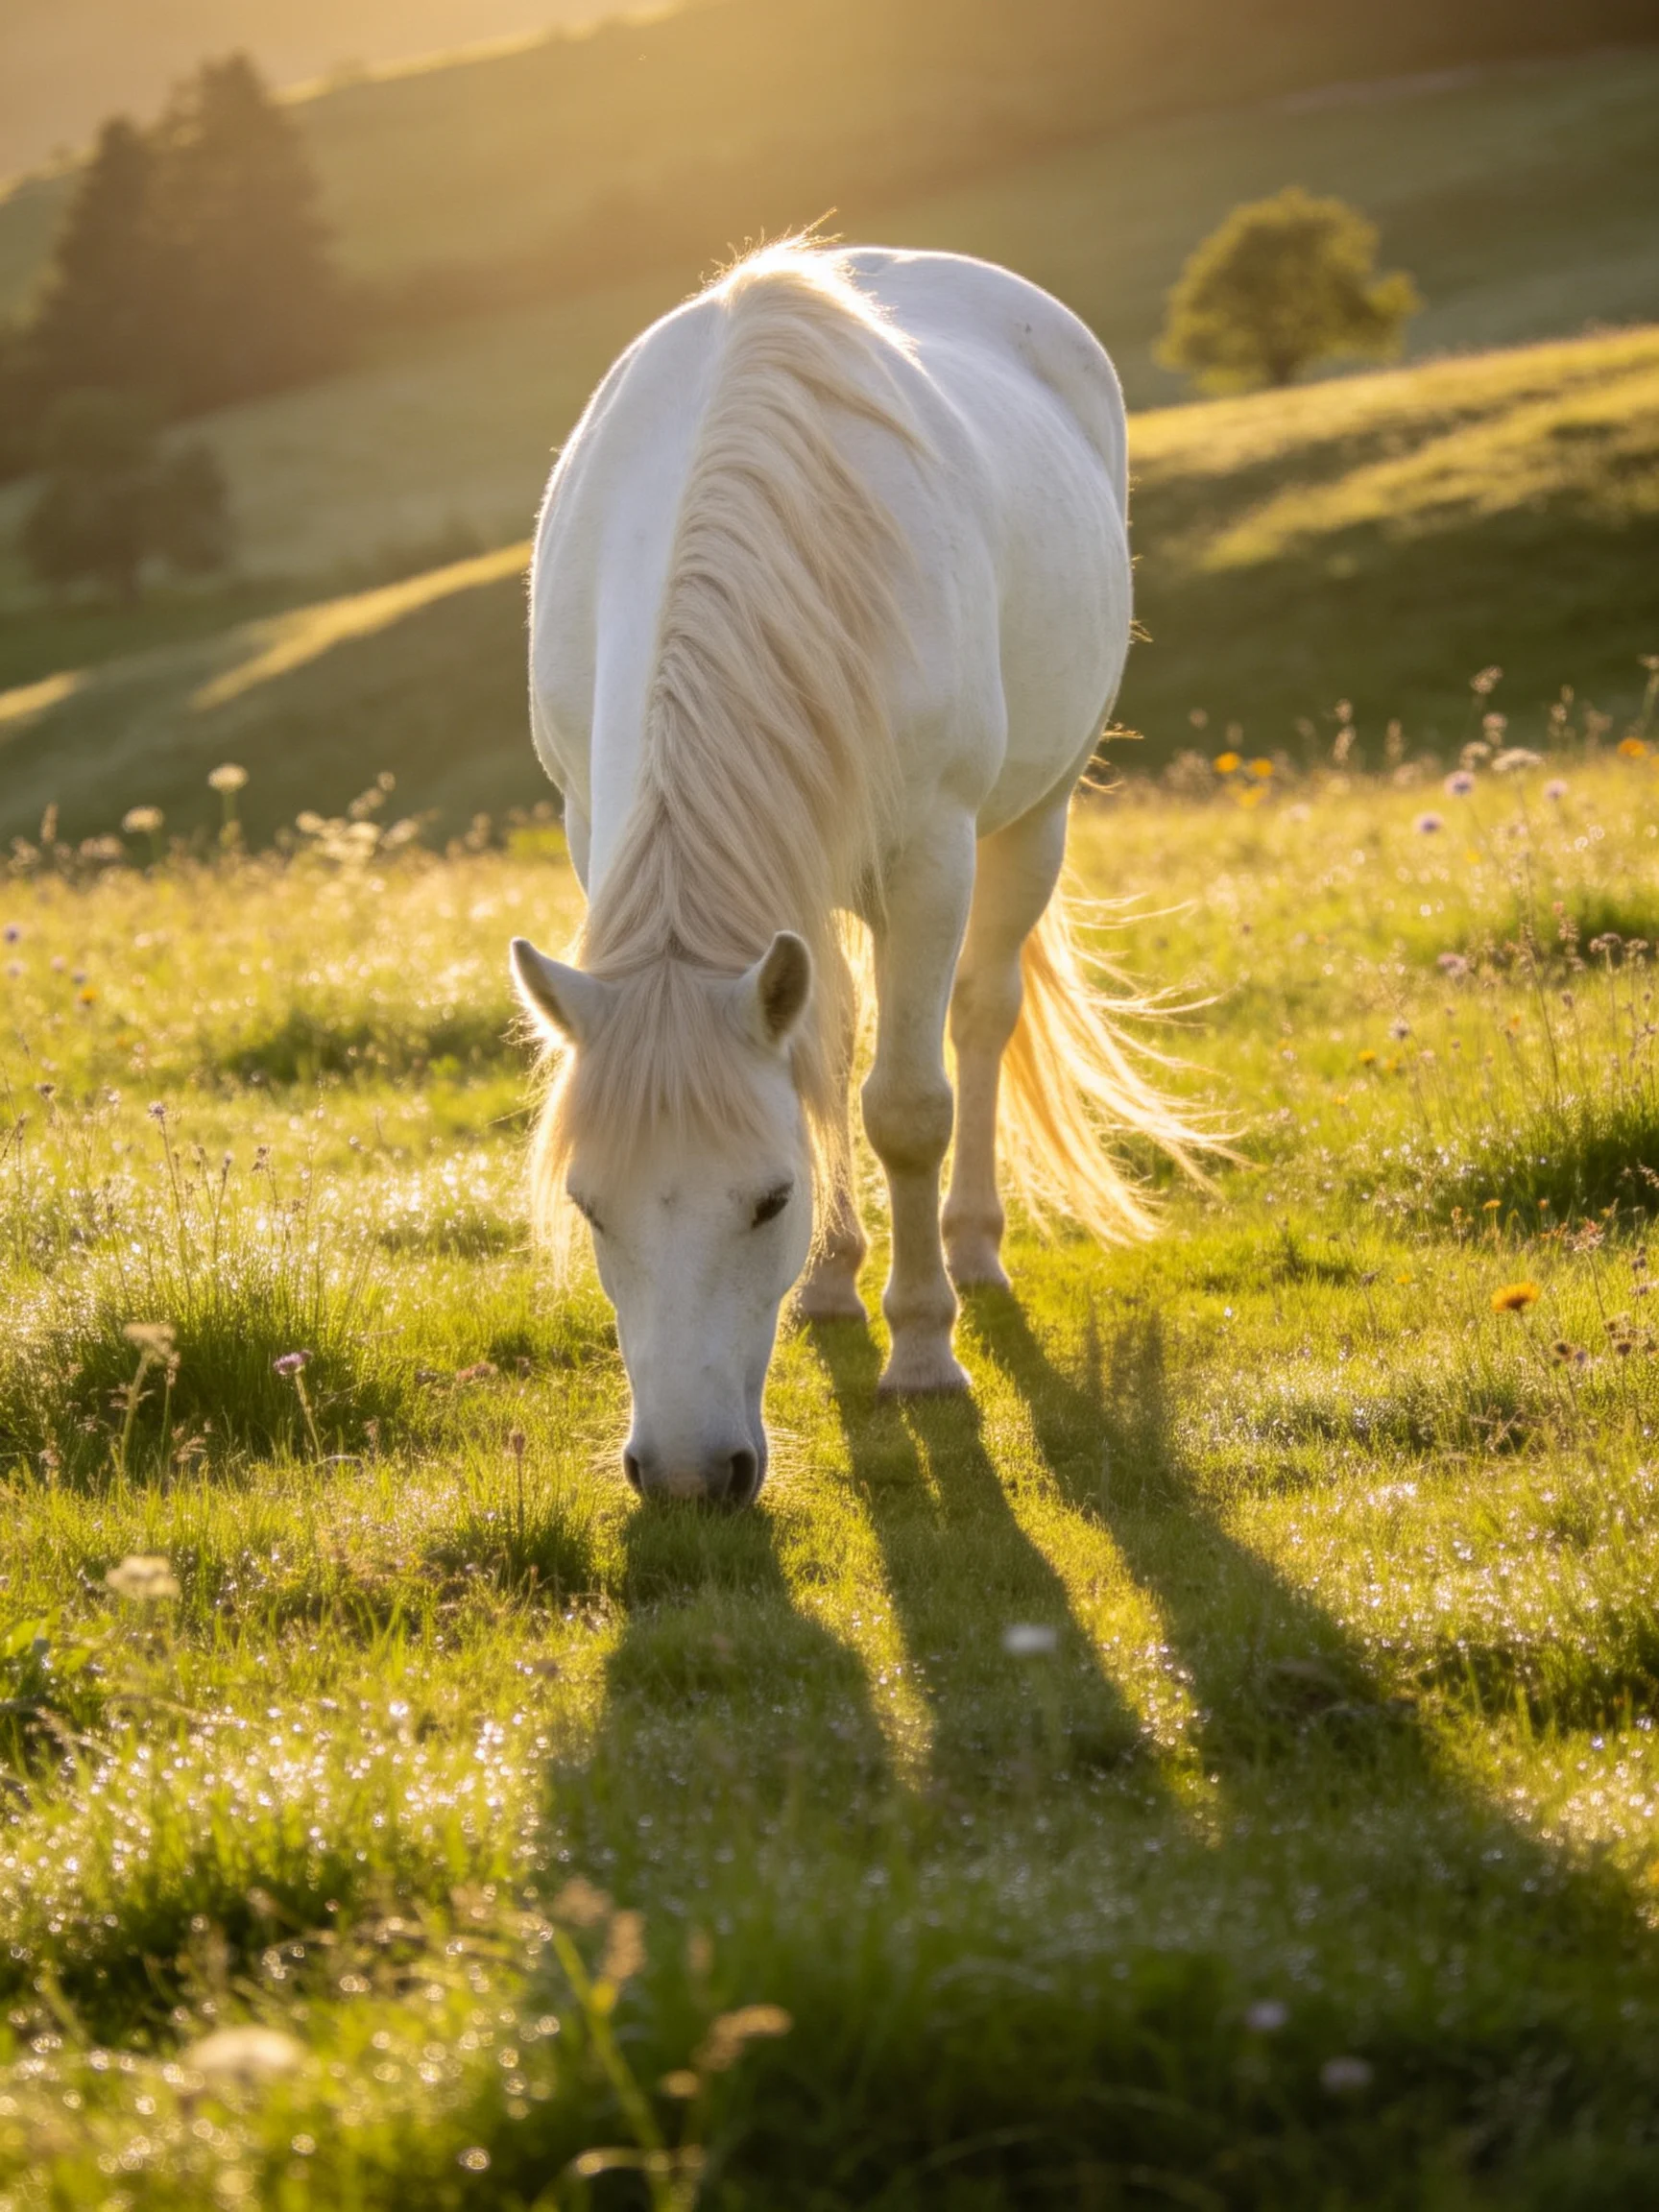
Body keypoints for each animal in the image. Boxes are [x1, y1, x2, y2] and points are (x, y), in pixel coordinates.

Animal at [510, 240, 1207, 1505]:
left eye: (767, 1199)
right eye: (589, 1204)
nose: (686, 1477)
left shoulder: (930, 856)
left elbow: (907, 1109)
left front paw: (923, 1351)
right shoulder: (598, 825)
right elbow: (827, 1081)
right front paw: (838, 1284)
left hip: (1033, 820)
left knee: (981, 1019)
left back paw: (972, 1252)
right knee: (830, 1049)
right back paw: (834, 1284)